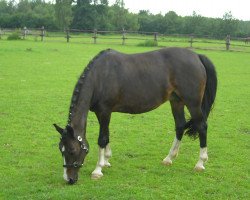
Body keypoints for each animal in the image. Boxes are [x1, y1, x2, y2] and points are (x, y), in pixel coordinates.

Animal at [53, 47, 217, 184]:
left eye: (72, 150)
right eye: (61, 149)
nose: (69, 179)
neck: (100, 76)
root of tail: (196, 56)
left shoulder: (104, 111)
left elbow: (102, 139)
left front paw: (98, 170)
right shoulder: (105, 113)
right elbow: (107, 136)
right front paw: (106, 161)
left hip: (192, 103)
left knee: (202, 126)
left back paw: (200, 163)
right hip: (176, 101)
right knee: (180, 126)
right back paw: (169, 158)